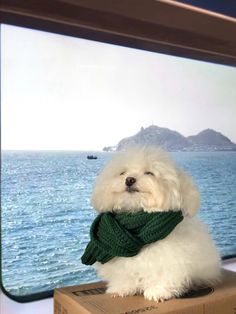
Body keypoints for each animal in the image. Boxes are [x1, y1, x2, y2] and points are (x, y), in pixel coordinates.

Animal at [87, 147, 220, 302]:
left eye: (149, 173)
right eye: (122, 172)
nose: (129, 179)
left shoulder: (172, 258)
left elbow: (165, 274)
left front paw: (159, 291)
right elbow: (126, 275)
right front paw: (123, 287)